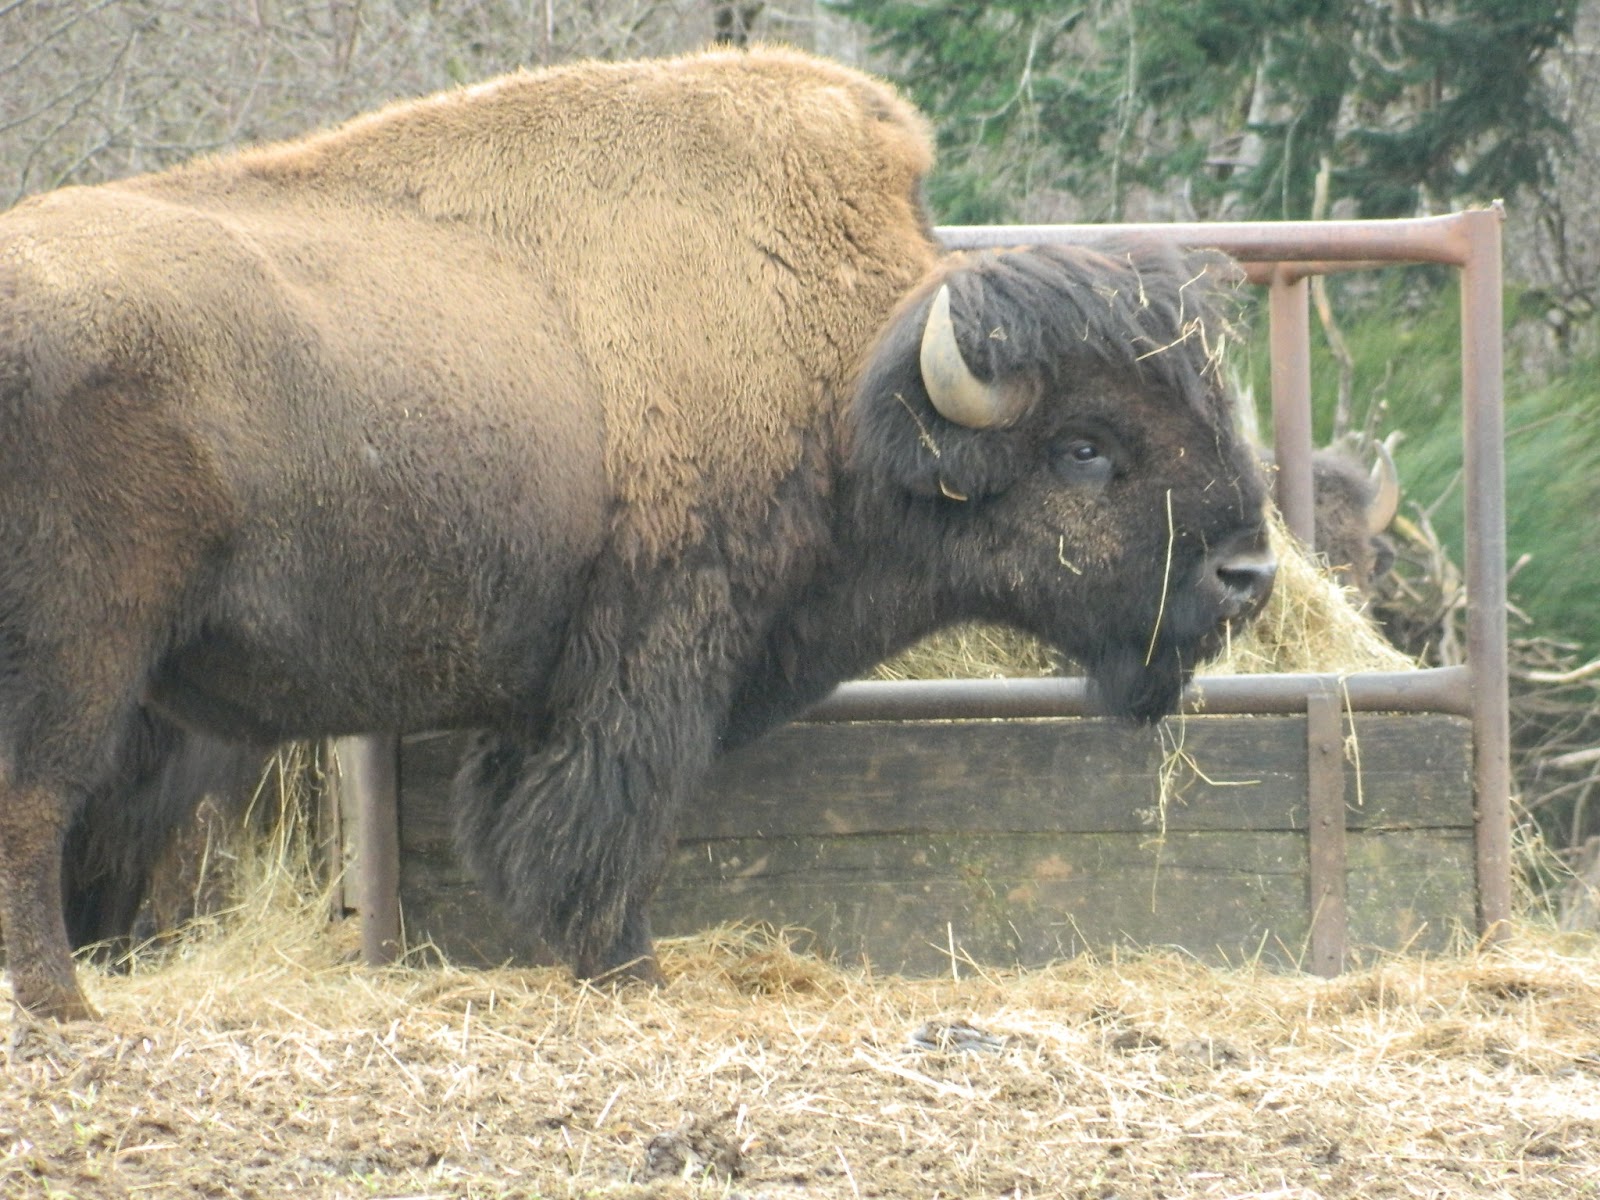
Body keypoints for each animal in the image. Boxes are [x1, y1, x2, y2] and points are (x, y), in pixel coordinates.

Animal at [0, 47, 1274, 1021]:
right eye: (1084, 447)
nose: (1247, 573)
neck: (850, 378)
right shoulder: (652, 660)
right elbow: (610, 824)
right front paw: (630, 970)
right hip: (85, 656)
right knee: (36, 811)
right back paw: (64, 1008)